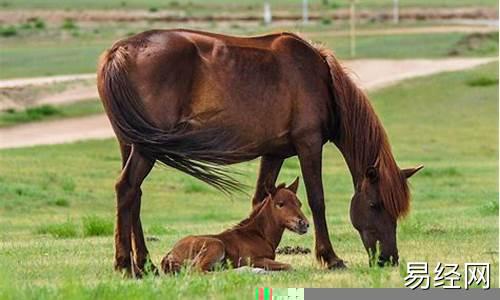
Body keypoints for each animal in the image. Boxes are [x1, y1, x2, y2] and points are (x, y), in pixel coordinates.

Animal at [162, 178, 306, 274]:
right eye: (280, 204)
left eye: (299, 204)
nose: (304, 224)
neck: (259, 235)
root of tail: (171, 253)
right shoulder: (252, 259)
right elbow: (288, 266)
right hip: (216, 245)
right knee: (199, 272)